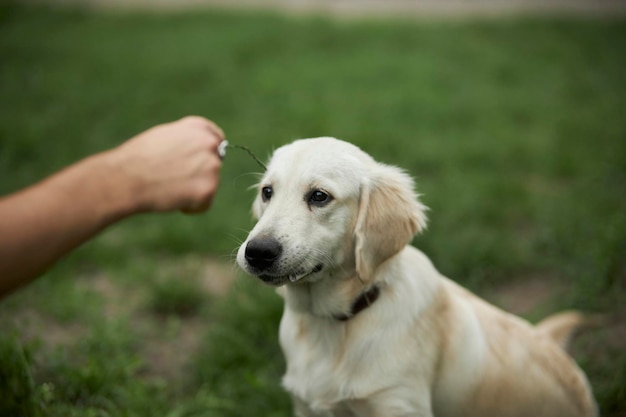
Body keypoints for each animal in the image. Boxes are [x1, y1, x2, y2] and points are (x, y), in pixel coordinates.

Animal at [235, 137, 596, 416]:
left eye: (319, 196)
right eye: (267, 192)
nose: (257, 252)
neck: (335, 323)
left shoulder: (397, 401)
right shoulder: (306, 405)